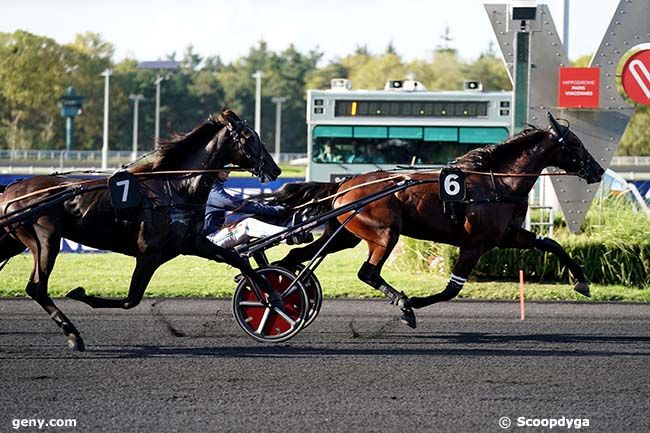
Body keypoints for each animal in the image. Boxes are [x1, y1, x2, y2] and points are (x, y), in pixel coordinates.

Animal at [1, 109, 282, 350]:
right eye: (250, 137)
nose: (275, 168)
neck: (173, 187)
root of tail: (11, 189)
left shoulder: (192, 243)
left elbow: (238, 259)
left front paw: (271, 297)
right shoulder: (149, 253)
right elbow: (131, 299)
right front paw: (81, 294)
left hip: (14, 241)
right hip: (46, 238)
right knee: (37, 287)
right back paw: (73, 335)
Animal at [262, 113, 604, 326]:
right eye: (574, 144)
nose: (598, 170)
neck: (497, 183)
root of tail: (346, 185)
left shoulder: (508, 236)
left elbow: (551, 244)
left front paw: (582, 281)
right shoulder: (474, 244)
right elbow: (452, 289)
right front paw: (411, 302)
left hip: (346, 235)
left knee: (297, 256)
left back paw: (285, 292)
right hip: (385, 233)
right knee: (368, 272)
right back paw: (402, 303)